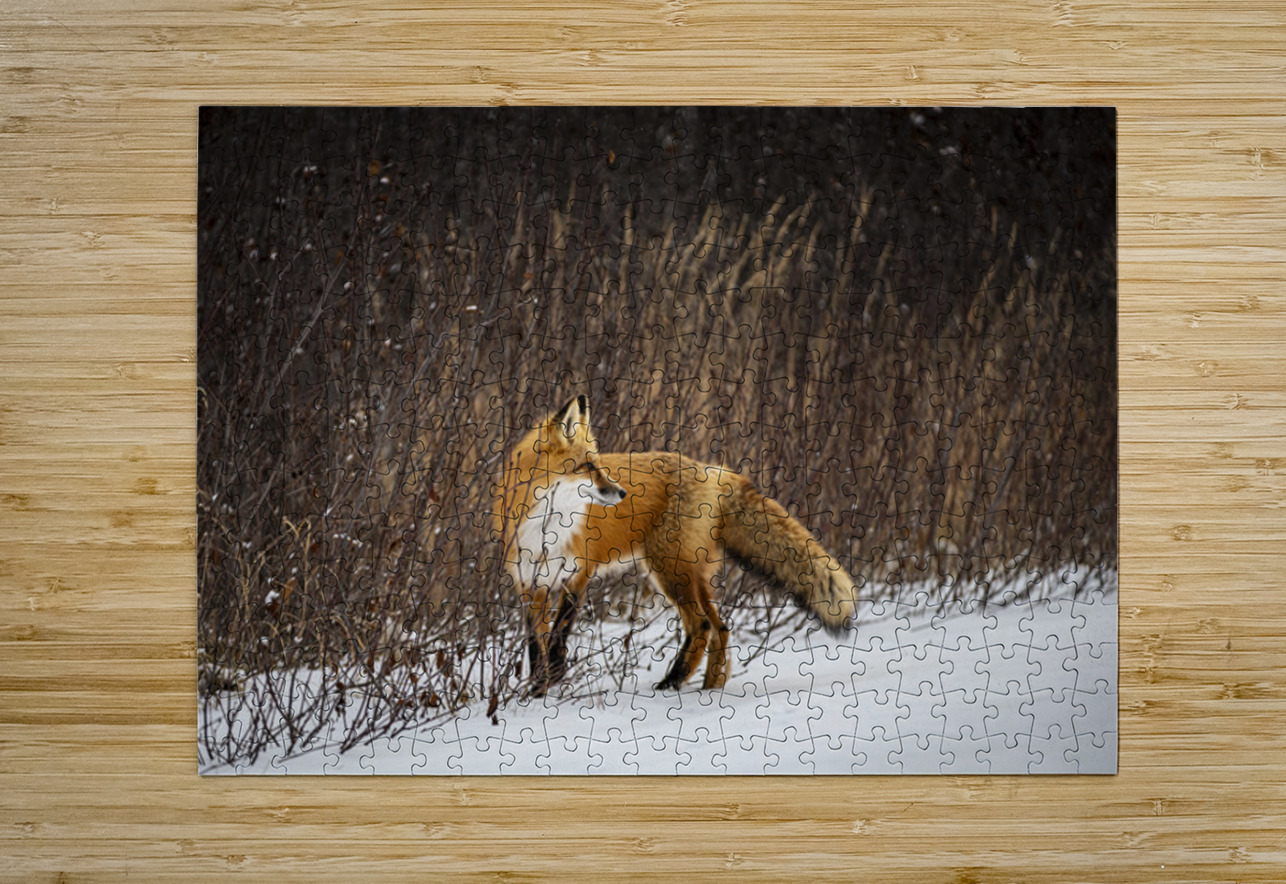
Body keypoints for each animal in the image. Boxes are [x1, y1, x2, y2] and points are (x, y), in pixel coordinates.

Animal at [494, 395, 858, 695]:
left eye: (598, 463)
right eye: (587, 466)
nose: (622, 492)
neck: (545, 526)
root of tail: (714, 471)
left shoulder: (578, 574)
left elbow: (559, 635)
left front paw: (550, 683)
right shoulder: (530, 582)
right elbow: (534, 644)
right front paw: (537, 688)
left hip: (669, 571)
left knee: (701, 625)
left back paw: (673, 681)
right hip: (690, 574)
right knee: (721, 626)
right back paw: (710, 686)